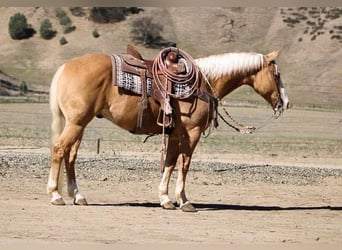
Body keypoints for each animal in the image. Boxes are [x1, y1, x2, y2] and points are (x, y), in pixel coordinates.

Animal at [47, 48, 288, 211]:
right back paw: (56, 195)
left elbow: (170, 163)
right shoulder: (192, 132)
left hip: (78, 124)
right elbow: (184, 164)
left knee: (70, 155)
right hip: (76, 123)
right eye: (276, 75)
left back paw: (78, 196)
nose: (285, 103)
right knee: (59, 150)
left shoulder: (174, 133)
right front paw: (184, 200)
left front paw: (165, 198)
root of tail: (65, 67)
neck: (203, 82)